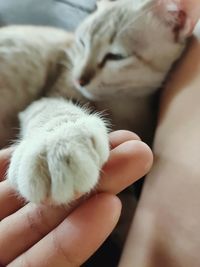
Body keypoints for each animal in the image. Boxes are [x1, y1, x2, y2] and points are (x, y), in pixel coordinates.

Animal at [0, 0, 195, 205]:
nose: (78, 79)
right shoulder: (55, 94)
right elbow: (54, 110)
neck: (123, 102)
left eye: (116, 56)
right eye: (82, 43)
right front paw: (58, 143)